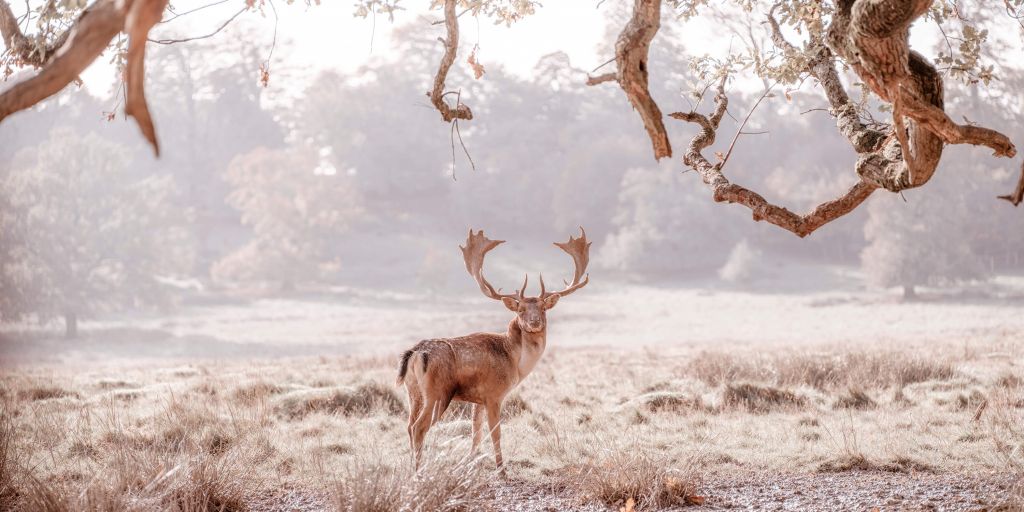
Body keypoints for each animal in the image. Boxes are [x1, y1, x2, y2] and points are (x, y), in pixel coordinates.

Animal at [399, 228, 593, 471]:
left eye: (543, 308)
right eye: (520, 309)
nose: (534, 322)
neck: (515, 362)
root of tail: (415, 354)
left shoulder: (477, 399)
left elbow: (476, 432)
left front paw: (468, 463)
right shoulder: (494, 393)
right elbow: (495, 433)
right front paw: (501, 470)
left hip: (413, 391)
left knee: (408, 426)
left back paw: (410, 468)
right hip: (437, 392)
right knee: (419, 427)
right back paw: (418, 471)